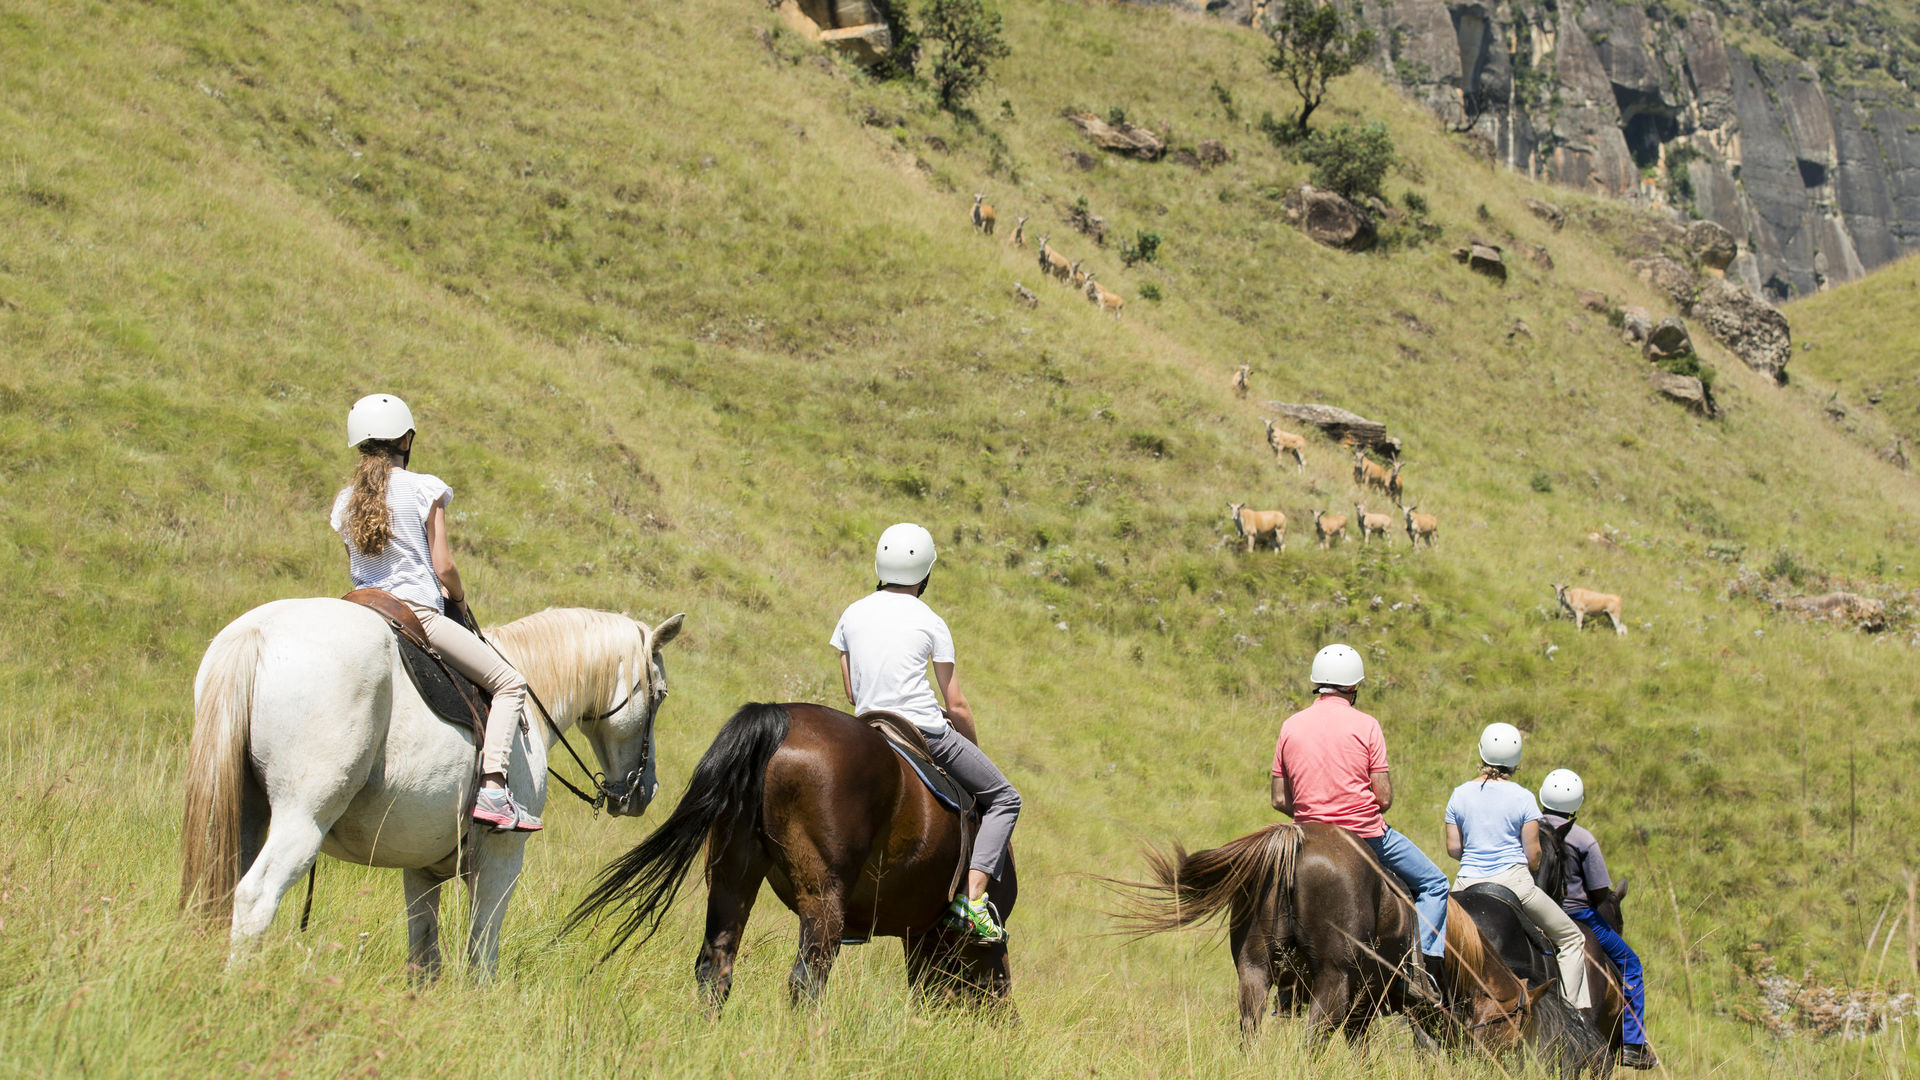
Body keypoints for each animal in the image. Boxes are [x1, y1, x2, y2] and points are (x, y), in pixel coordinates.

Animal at [180, 595, 687, 976]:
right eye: (660, 695)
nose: (645, 792)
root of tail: (257, 632)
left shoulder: (421, 869)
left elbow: (424, 956)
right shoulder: (502, 860)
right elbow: (482, 953)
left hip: (243, 815)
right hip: (302, 821)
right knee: (254, 898)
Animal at [1113, 822, 1443, 1045]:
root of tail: (1296, 840)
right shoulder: (1366, 1000)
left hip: (1254, 968)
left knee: (1251, 1025)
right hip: (1334, 978)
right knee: (1314, 1036)